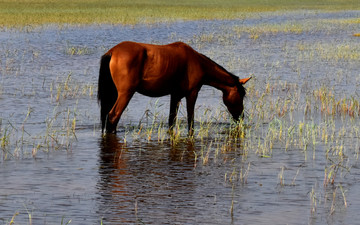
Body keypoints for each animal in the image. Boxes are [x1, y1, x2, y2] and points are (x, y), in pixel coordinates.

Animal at [97, 41, 252, 134]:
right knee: (113, 116)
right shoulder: (192, 93)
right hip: (125, 94)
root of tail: (112, 52)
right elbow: (190, 120)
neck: (198, 63)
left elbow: (171, 120)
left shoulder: (175, 95)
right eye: (241, 95)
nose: (241, 117)